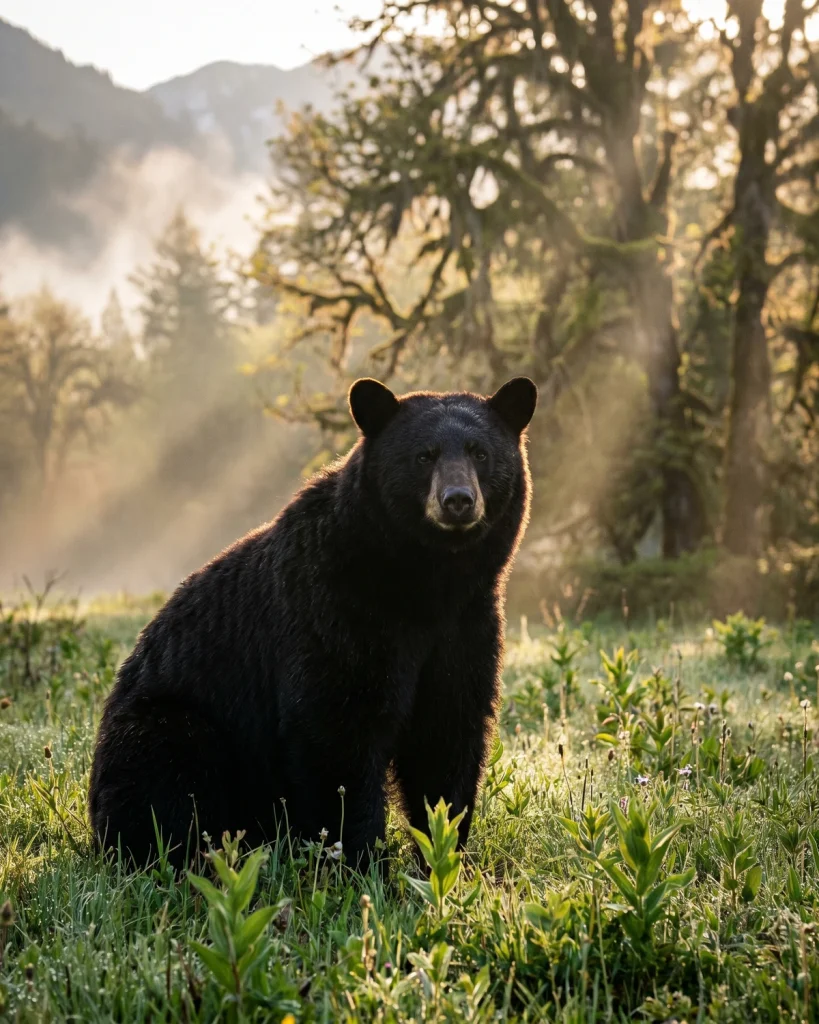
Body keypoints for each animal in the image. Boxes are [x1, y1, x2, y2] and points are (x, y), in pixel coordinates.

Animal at [89, 375, 537, 869]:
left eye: (480, 452)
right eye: (424, 455)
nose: (457, 501)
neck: (427, 584)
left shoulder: (468, 625)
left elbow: (448, 730)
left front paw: (444, 852)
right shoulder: (333, 607)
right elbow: (337, 729)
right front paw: (361, 860)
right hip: (166, 725)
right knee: (167, 776)